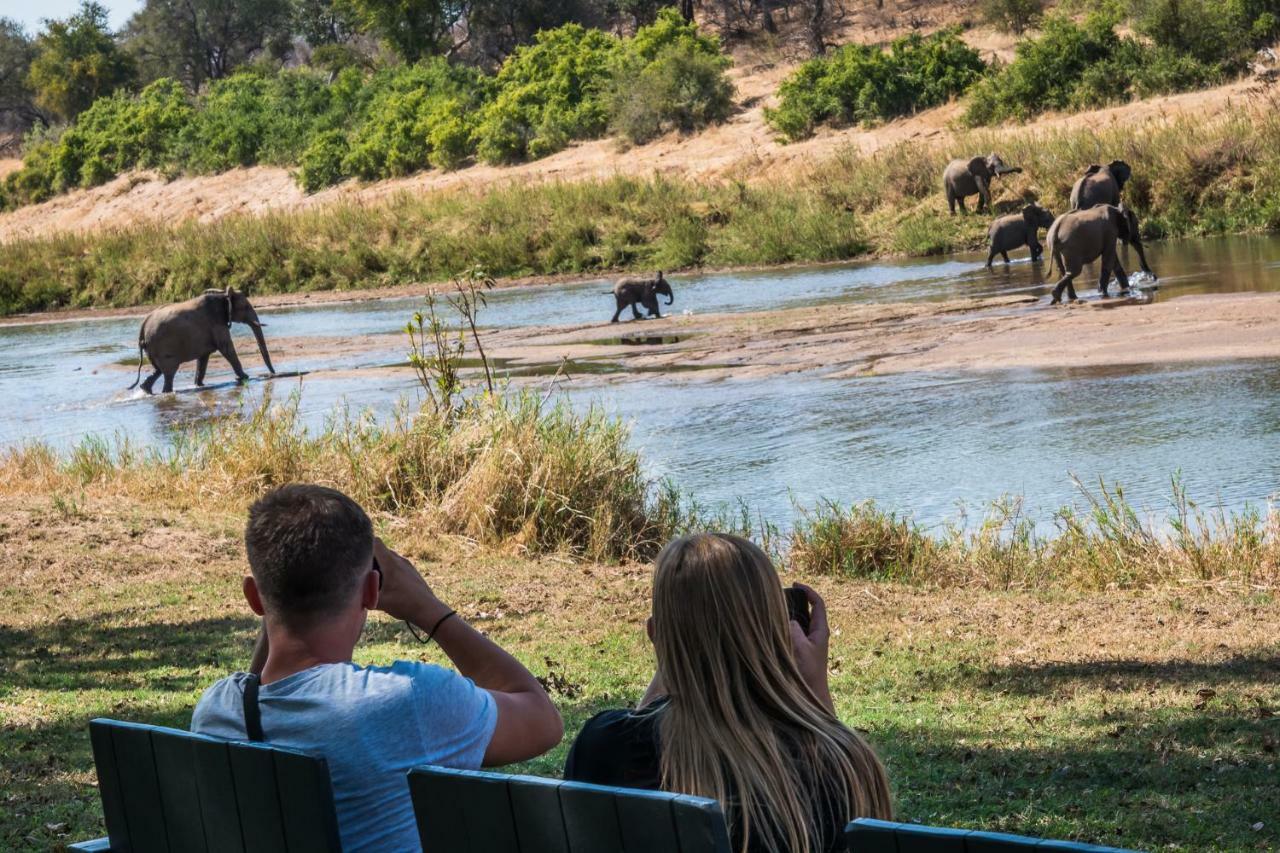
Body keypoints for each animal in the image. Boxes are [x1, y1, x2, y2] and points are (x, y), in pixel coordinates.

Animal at [128, 285, 275, 391]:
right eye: (245, 307)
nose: (272, 374)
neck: (222, 296)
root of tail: (142, 328)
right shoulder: (216, 324)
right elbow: (227, 349)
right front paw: (245, 378)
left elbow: (203, 358)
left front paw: (199, 385)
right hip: (161, 346)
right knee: (169, 373)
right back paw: (166, 392)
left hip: (153, 349)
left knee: (157, 370)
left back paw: (145, 389)